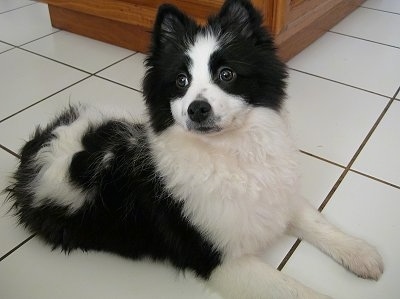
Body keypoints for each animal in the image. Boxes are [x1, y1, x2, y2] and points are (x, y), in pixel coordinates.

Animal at [5, 0, 382, 299]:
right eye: (181, 81)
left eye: (227, 74)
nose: (197, 109)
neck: (231, 154)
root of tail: (38, 144)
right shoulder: (218, 260)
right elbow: (294, 290)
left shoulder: (276, 196)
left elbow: (315, 221)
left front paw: (361, 253)